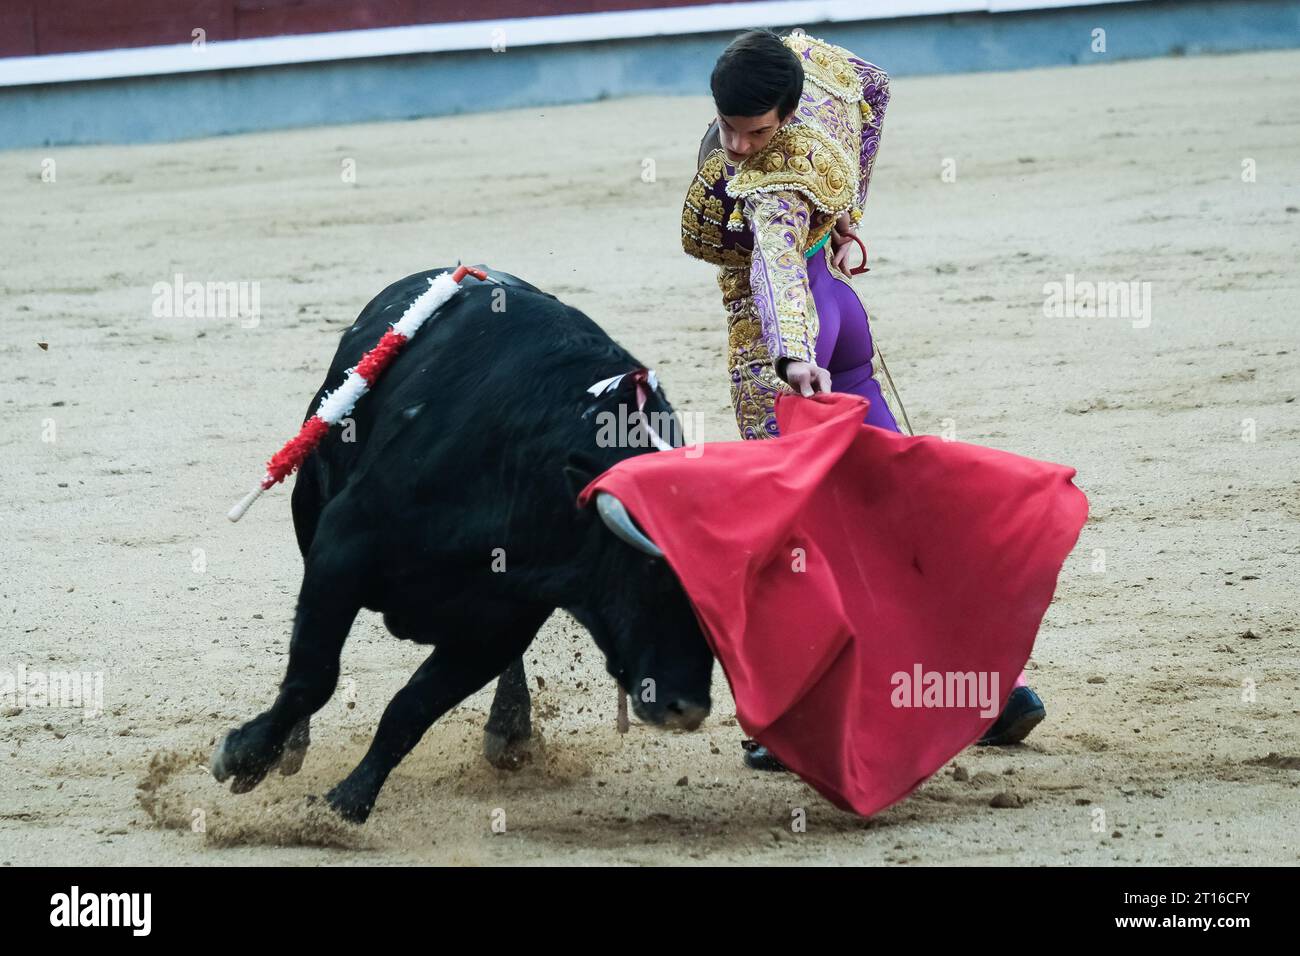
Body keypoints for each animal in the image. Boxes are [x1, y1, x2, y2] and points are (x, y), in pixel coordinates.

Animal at [215, 267, 722, 822]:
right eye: (651, 576)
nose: (687, 708)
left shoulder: (498, 627)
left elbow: (410, 710)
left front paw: (346, 806)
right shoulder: (340, 549)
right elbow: (314, 674)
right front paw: (245, 756)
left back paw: (510, 732)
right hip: (309, 507)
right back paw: (289, 747)